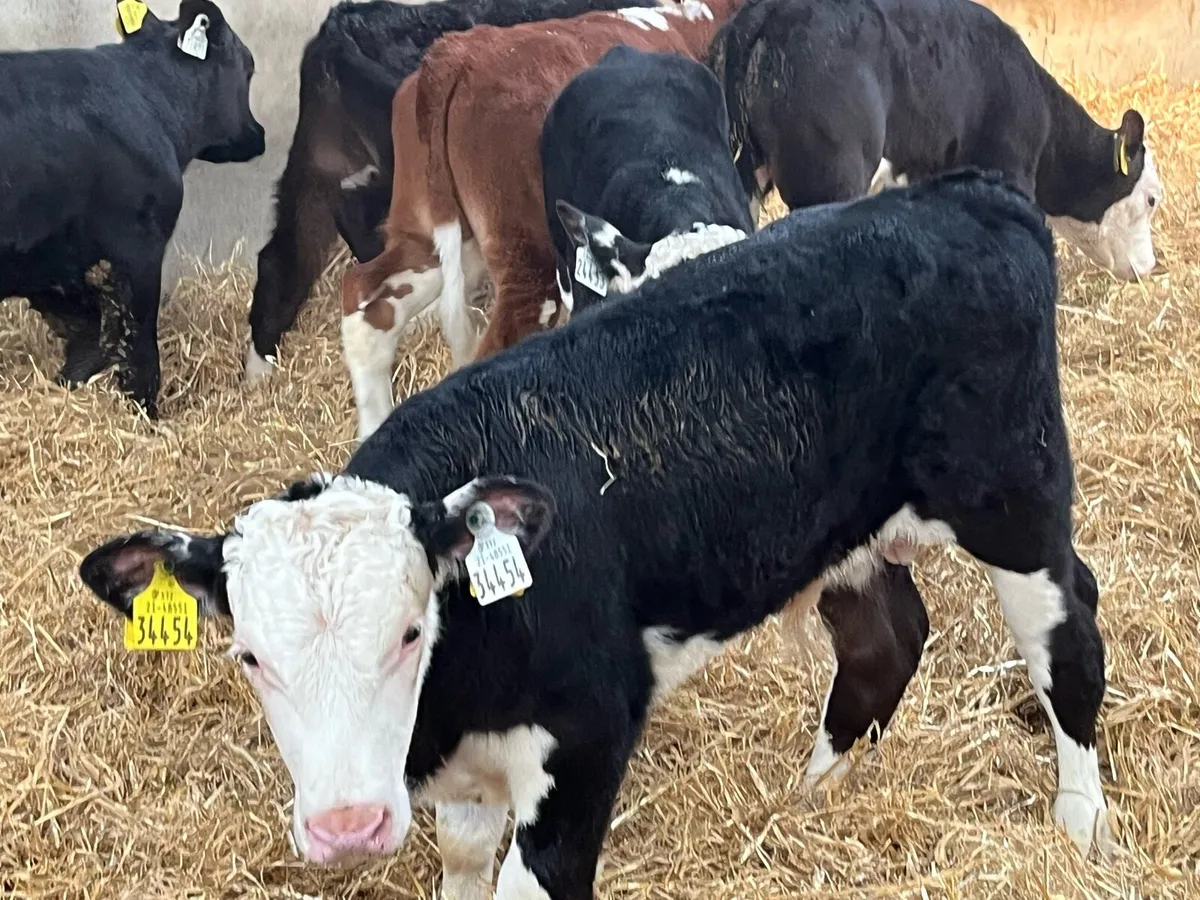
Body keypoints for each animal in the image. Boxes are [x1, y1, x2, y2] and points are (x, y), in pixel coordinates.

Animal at [0, 0, 265, 418]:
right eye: (249, 66)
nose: (258, 135)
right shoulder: (138, 245)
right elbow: (137, 340)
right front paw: (145, 414)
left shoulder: (47, 258)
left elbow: (86, 324)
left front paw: (70, 384)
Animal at [81, 170, 1113, 899]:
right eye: (250, 656)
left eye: (410, 634)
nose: (347, 827)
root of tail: (969, 193)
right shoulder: (461, 781)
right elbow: (463, 863)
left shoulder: (585, 744)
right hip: (847, 531)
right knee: (884, 642)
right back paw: (812, 793)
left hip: (1014, 501)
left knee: (1068, 637)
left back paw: (1079, 822)